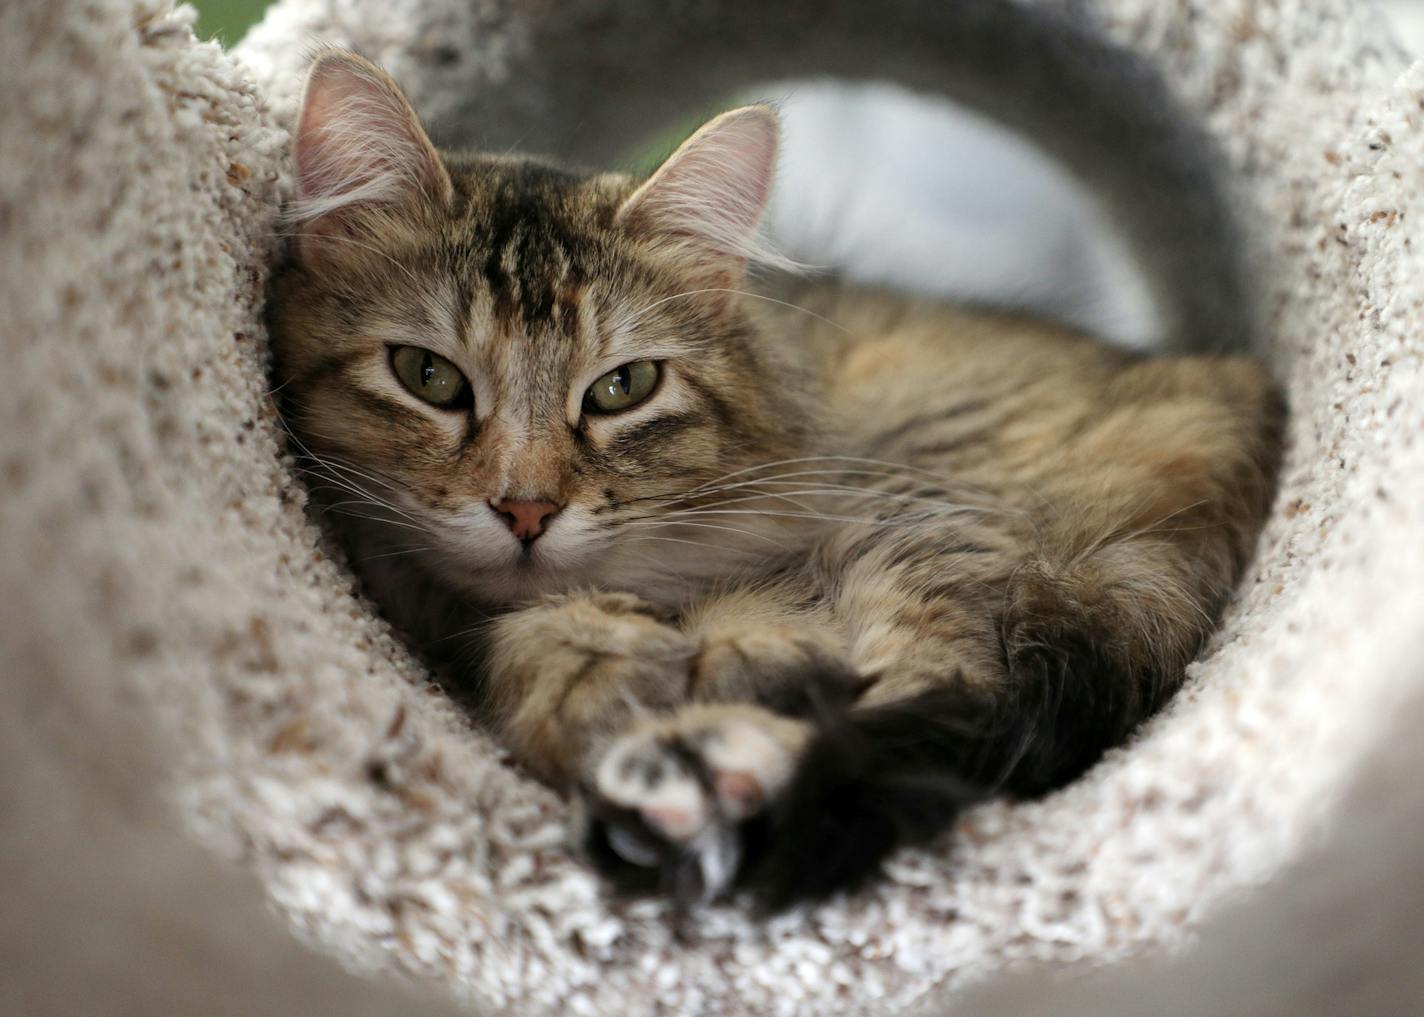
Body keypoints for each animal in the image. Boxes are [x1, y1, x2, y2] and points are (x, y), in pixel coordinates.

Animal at [262, 49, 1287, 911]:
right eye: (427, 375)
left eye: (622, 388)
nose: (526, 509)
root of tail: (1243, 399)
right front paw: (602, 666)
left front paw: (677, 667)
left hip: (927, 516)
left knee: (948, 692)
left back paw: (707, 767)